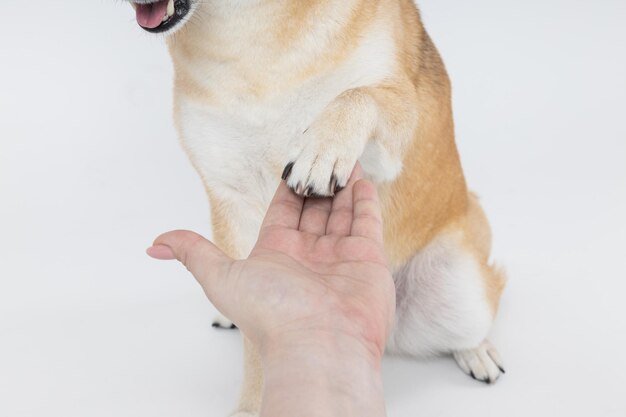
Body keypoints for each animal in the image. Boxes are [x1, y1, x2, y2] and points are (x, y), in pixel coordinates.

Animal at [124, 0, 504, 412]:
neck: (253, 38)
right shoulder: (233, 195)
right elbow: (255, 334)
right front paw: (252, 406)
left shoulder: (399, 121)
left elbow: (358, 94)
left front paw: (324, 147)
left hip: (460, 288)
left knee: (478, 311)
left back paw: (477, 352)